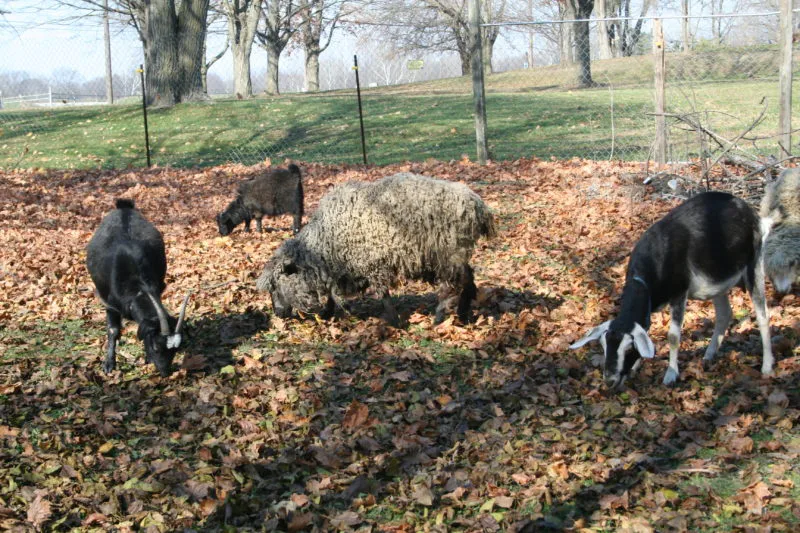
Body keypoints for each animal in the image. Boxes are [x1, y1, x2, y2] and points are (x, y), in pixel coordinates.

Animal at [86, 197, 191, 376]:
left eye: (175, 350)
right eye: (155, 347)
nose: (165, 372)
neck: (137, 289)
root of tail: (123, 208)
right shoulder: (109, 303)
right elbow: (113, 331)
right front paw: (109, 364)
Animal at [568, 191, 776, 386]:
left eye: (628, 348)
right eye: (604, 345)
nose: (610, 380)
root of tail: (750, 212)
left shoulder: (679, 293)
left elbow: (673, 336)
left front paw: (671, 374)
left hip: (754, 264)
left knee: (763, 315)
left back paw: (767, 366)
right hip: (718, 281)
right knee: (725, 314)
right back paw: (709, 355)